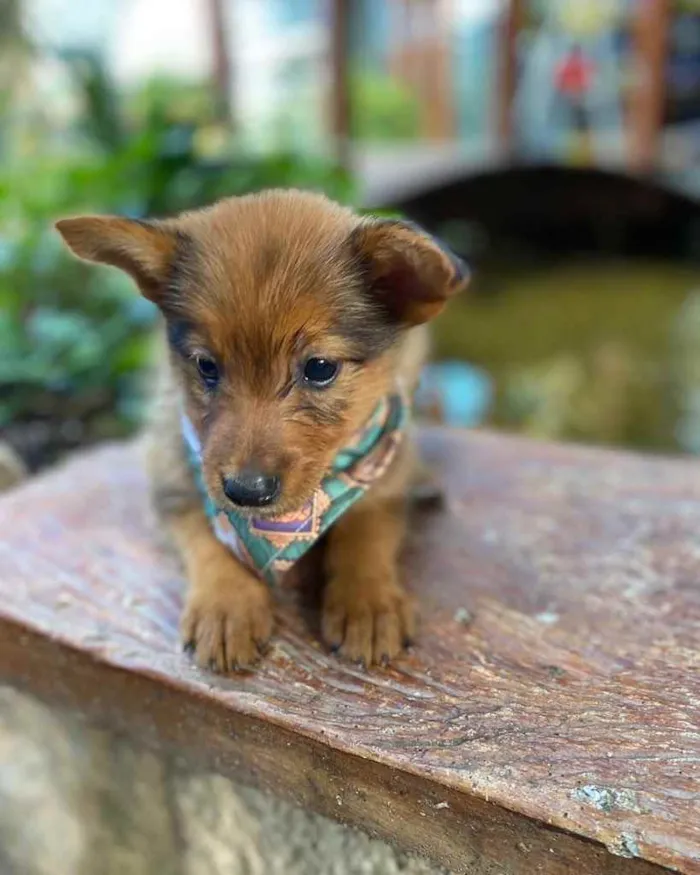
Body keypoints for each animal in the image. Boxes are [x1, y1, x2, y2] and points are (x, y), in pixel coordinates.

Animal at [57, 192, 468, 672]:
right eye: (206, 366)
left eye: (320, 368)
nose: (246, 493)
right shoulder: (170, 473)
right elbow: (208, 538)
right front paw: (225, 606)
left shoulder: (382, 466)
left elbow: (366, 526)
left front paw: (367, 601)